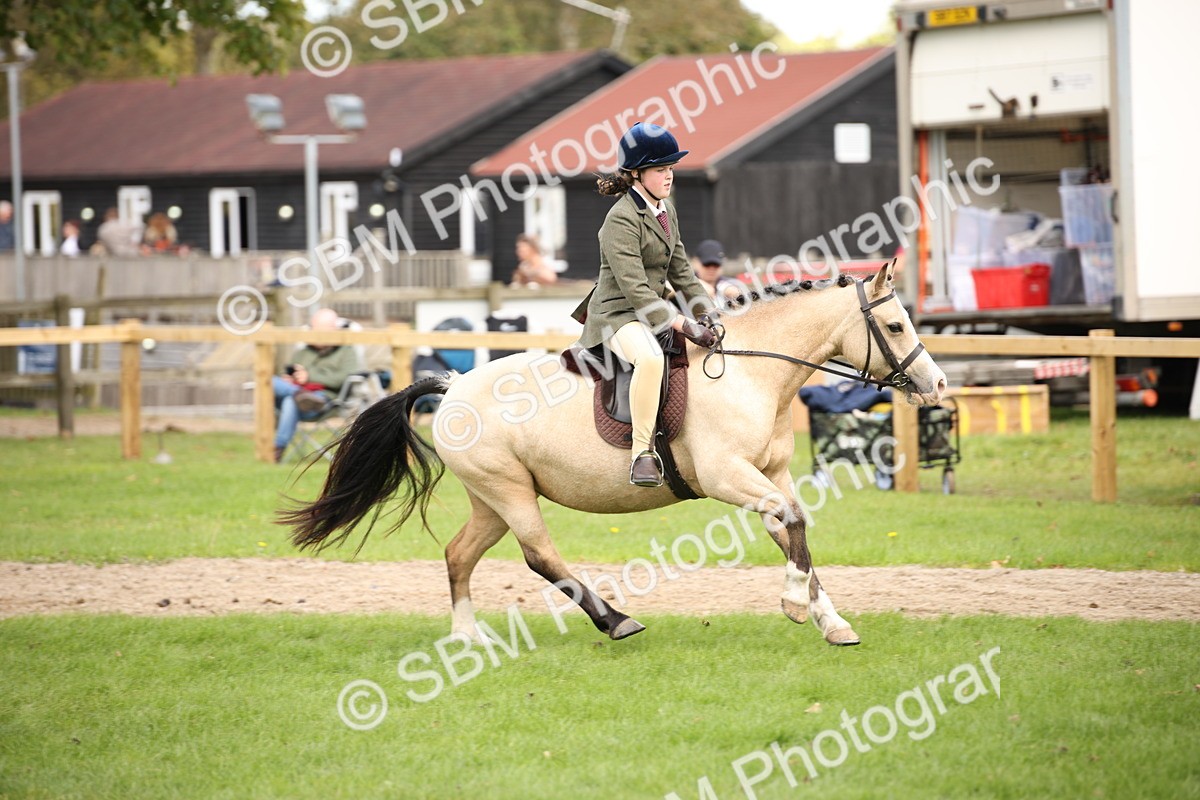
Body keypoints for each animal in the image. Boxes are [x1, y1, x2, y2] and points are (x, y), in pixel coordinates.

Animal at [281, 263, 947, 646]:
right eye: (894, 325)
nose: (937, 385)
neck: (751, 373)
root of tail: (451, 385)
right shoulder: (728, 477)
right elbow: (793, 522)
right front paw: (793, 606)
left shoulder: (770, 474)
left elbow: (794, 532)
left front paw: (830, 621)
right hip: (509, 492)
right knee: (539, 555)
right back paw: (616, 620)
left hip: (491, 498)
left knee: (459, 554)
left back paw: (467, 636)